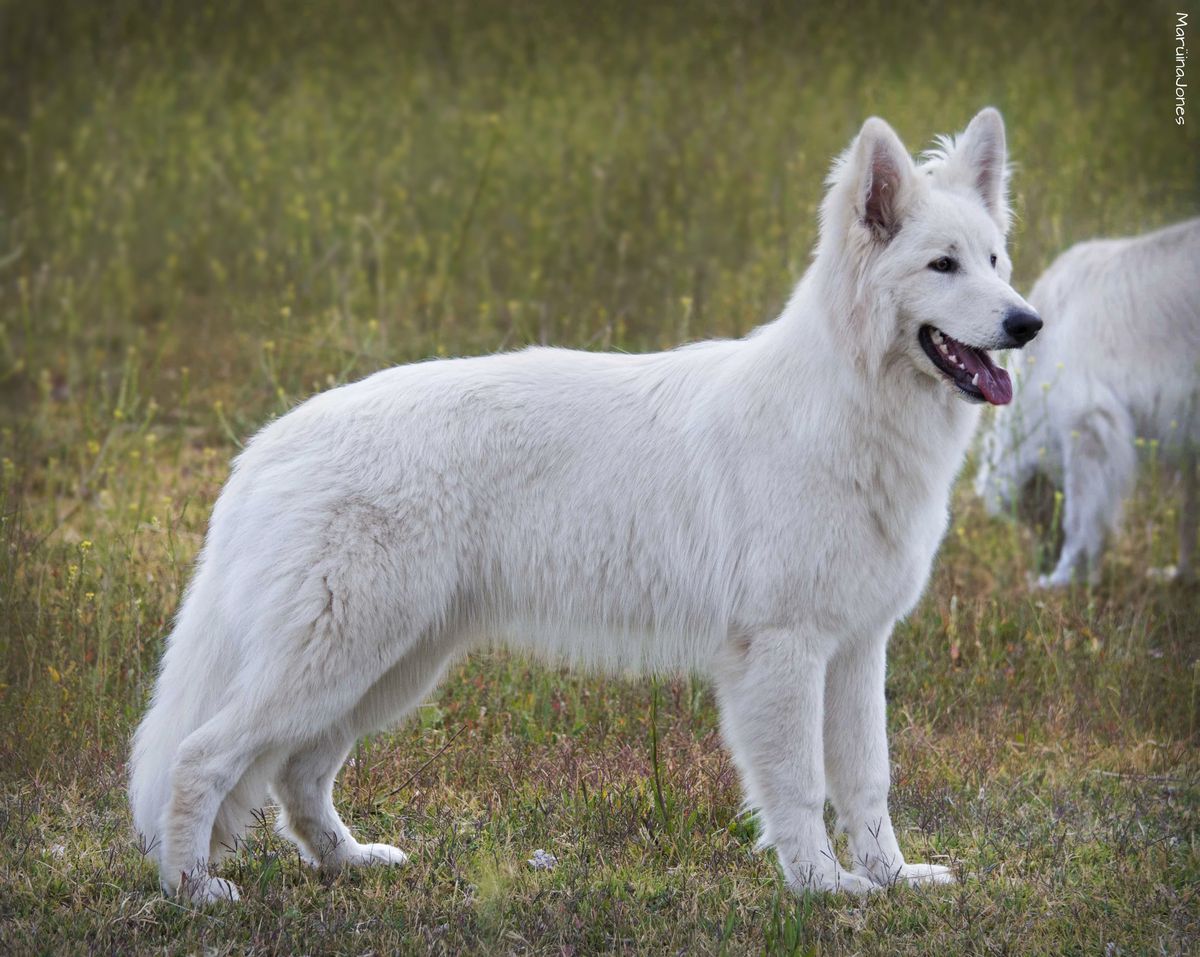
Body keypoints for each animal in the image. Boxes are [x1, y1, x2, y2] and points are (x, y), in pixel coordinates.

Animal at [129, 108, 1041, 901]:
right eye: (942, 265)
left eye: (996, 260)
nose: (1028, 323)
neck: (848, 408)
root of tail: (267, 445)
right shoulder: (784, 651)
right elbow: (800, 784)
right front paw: (823, 887)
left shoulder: (854, 650)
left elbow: (868, 781)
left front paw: (893, 880)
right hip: (340, 658)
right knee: (201, 756)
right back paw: (192, 887)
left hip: (389, 666)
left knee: (297, 771)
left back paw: (348, 861)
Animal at [974, 220, 1200, 587]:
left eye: (1028, 518)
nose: (1040, 561)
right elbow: (1190, 510)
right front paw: (1180, 573)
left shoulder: (1088, 421)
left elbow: (1079, 514)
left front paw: (1058, 579)